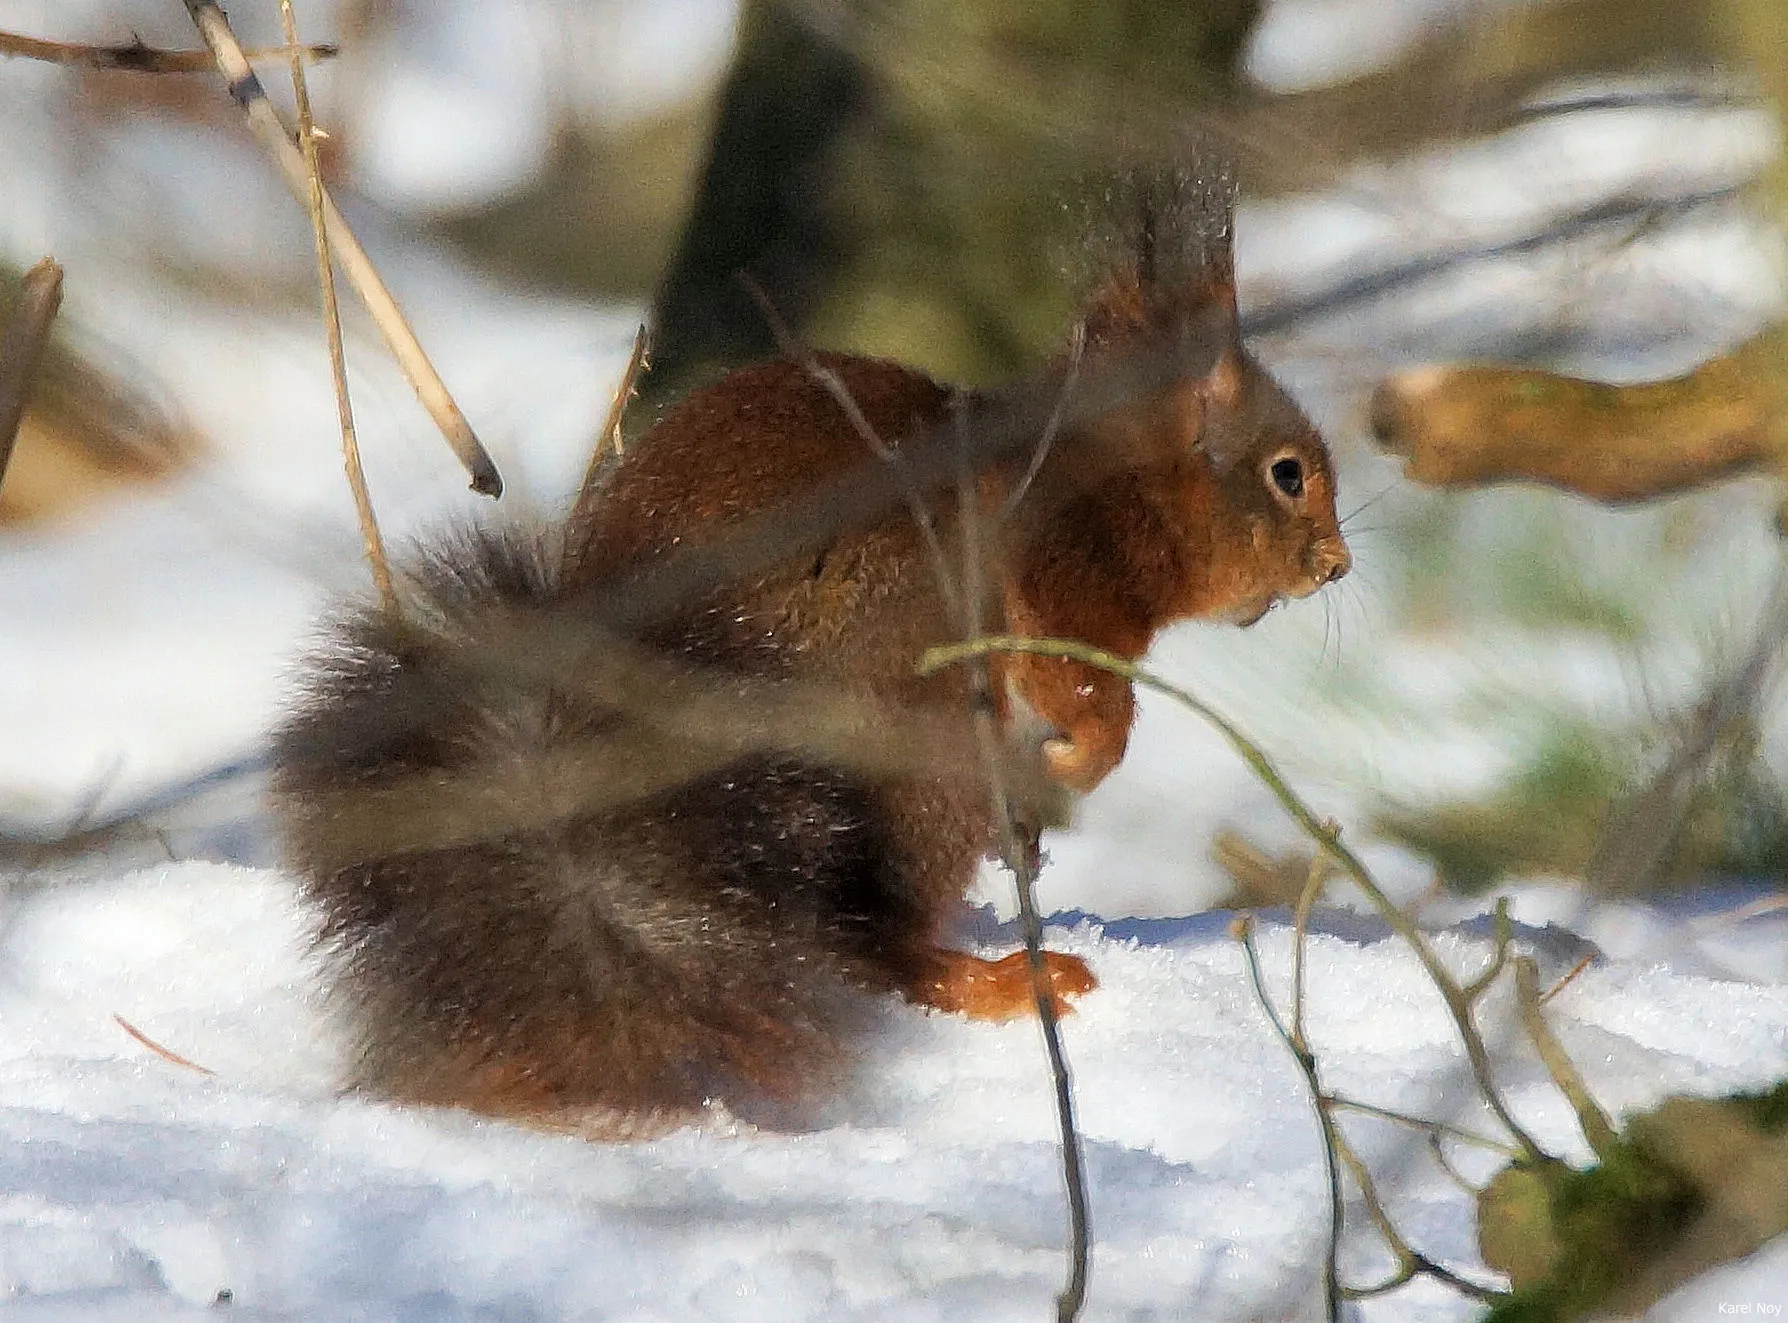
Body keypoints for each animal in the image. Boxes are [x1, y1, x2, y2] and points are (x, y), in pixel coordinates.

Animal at [271, 165, 1344, 1129]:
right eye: (1287, 473)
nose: (1334, 567)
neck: (1107, 469)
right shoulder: (1056, 566)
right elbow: (1076, 679)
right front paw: (1082, 757)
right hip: (922, 740)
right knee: (875, 946)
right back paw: (998, 976)